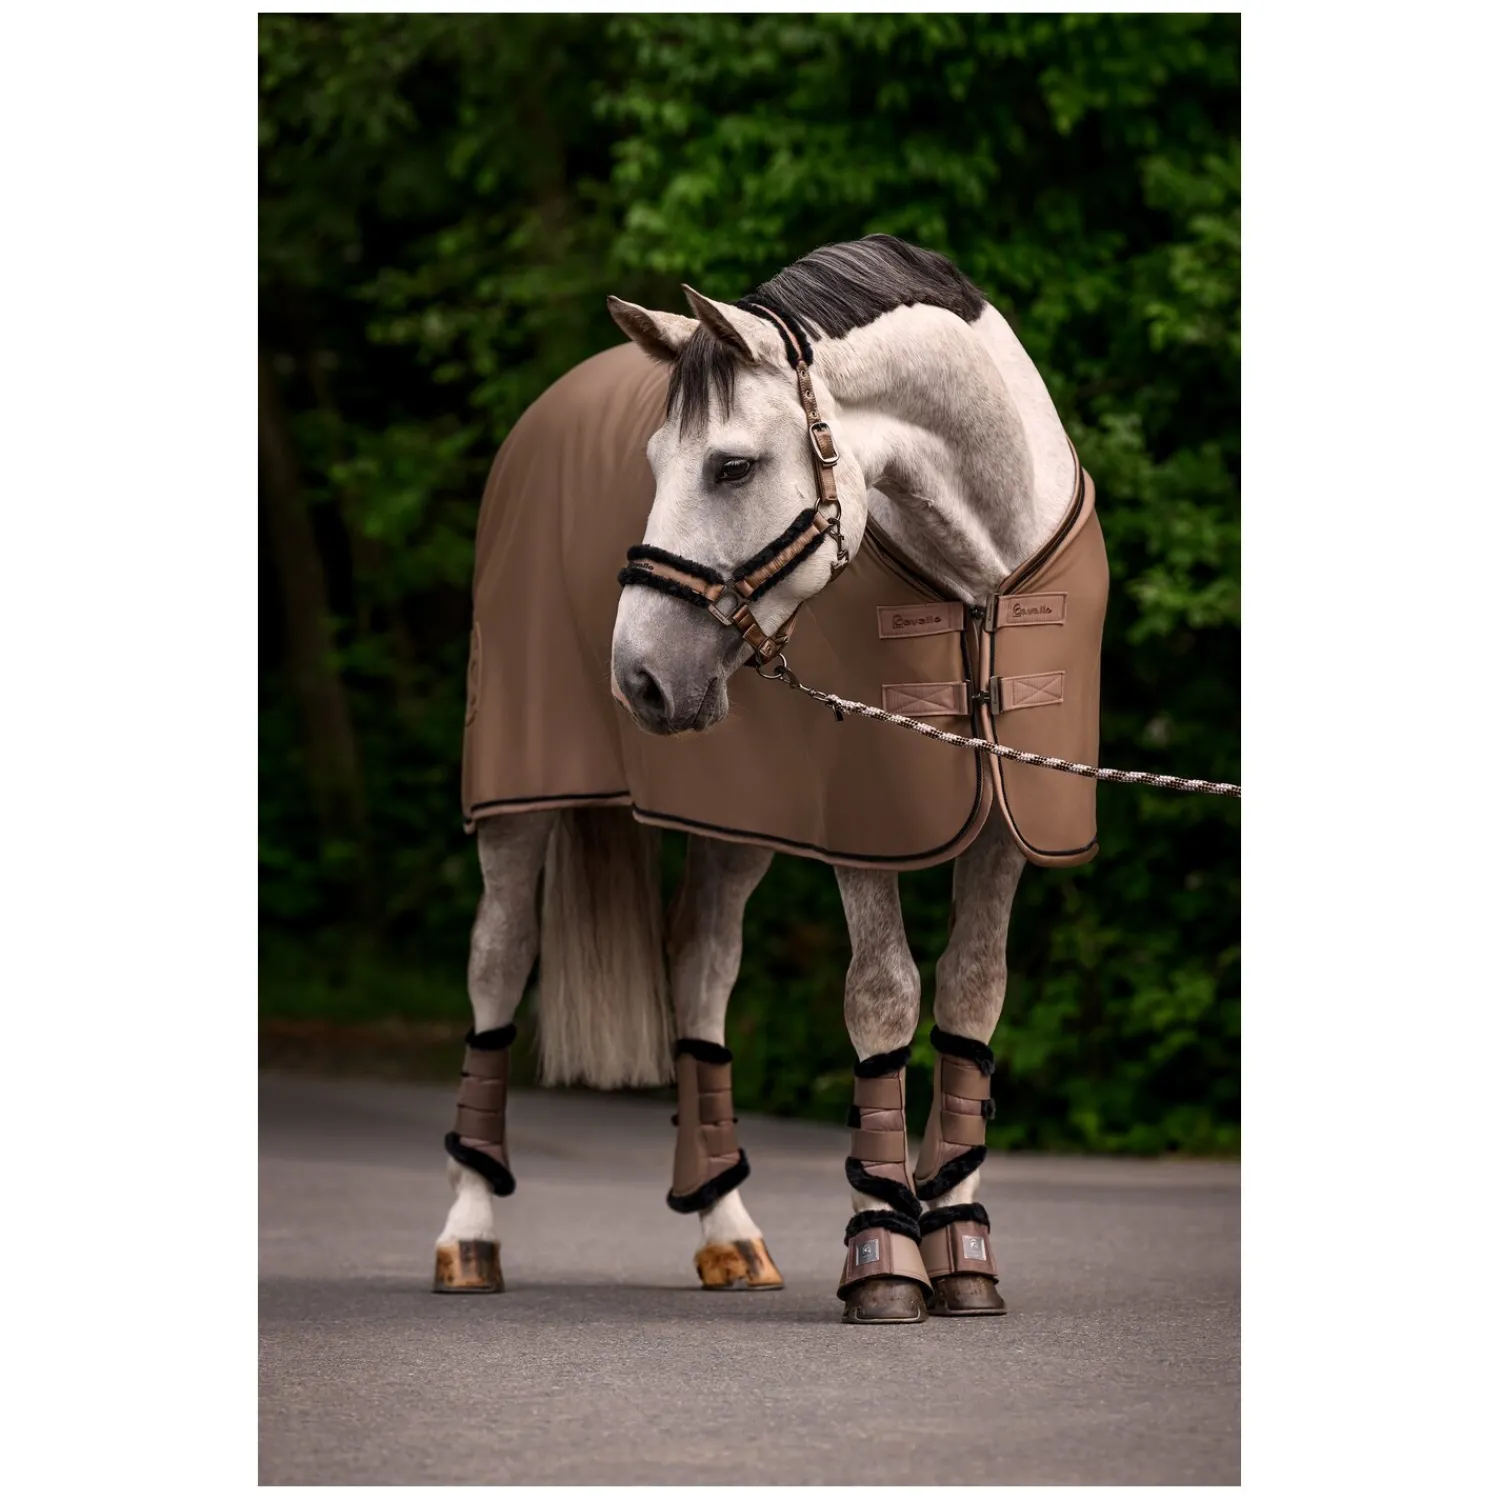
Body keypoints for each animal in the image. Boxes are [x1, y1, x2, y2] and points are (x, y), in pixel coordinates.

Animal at [433, 235, 1106, 1323]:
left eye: (732, 464)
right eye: (653, 466)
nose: (638, 678)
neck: (978, 573)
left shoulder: (1007, 821)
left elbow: (971, 998)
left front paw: (962, 1246)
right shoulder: (865, 830)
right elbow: (884, 997)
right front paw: (884, 1254)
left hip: (735, 827)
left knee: (700, 968)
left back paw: (727, 1229)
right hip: (517, 806)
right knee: (497, 961)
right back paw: (468, 1232)